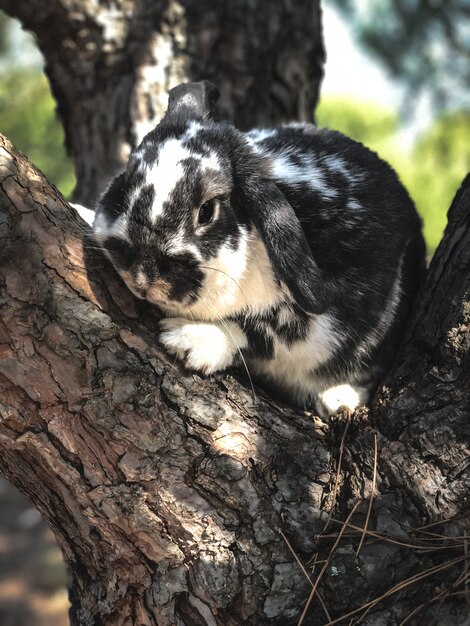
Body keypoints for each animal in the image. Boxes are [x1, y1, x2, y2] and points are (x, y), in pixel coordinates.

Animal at [92, 80, 426, 416]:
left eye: (207, 211)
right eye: (124, 181)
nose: (143, 277)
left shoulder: (322, 321)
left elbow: (264, 333)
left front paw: (189, 340)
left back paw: (339, 399)